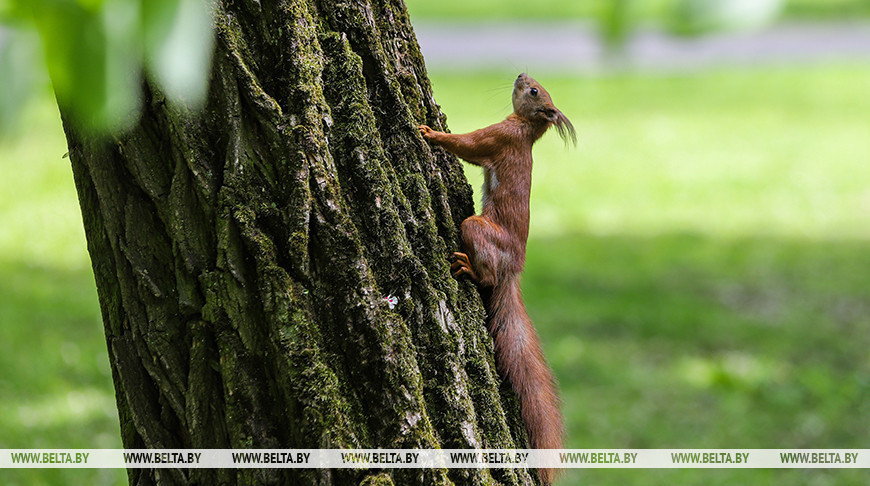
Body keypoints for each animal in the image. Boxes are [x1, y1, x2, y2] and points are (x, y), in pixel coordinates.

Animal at [418, 73, 576, 486]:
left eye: (534, 91)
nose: (521, 75)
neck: (526, 130)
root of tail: (512, 270)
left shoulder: (498, 137)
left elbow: (468, 144)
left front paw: (430, 132)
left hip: (478, 230)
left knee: (483, 269)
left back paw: (468, 267)